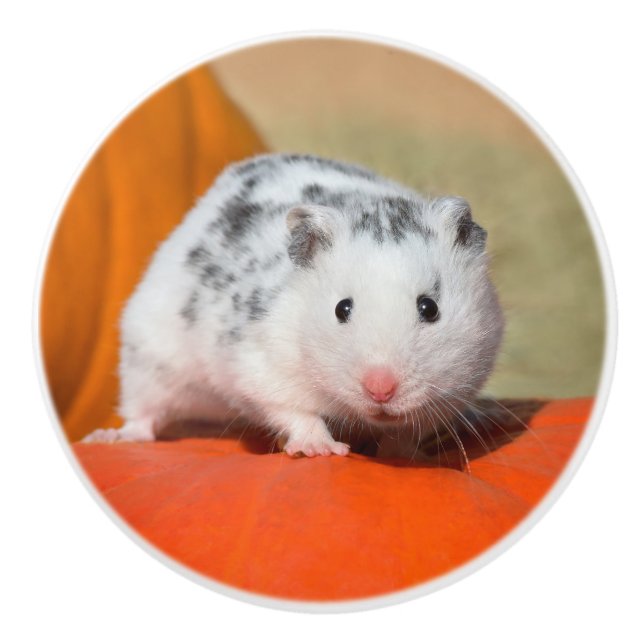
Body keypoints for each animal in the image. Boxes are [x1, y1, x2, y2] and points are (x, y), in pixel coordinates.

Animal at [83, 153, 504, 459]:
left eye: (430, 308)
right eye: (341, 309)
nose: (380, 391)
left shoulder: (461, 383)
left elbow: (409, 433)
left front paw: (402, 456)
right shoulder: (262, 368)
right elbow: (296, 412)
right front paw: (322, 450)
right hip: (148, 358)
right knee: (142, 414)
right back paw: (108, 438)